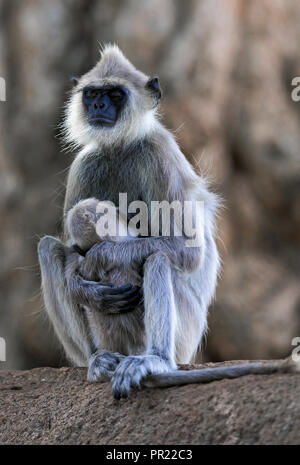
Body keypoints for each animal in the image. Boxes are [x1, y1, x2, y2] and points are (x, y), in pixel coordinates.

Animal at [38, 44, 300, 398]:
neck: (121, 147)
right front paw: (83, 287)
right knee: (48, 249)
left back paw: (156, 360)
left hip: (185, 336)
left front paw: (101, 256)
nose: (98, 106)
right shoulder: (84, 165)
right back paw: (97, 359)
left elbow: (187, 251)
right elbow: (69, 252)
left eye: (114, 94)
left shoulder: (161, 155)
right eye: (92, 93)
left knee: (158, 257)